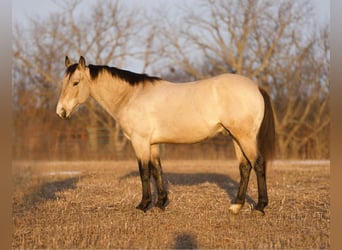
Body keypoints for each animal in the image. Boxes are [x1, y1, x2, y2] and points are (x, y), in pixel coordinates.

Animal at [56, 56, 276, 215]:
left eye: (75, 83)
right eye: (63, 83)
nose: (61, 112)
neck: (131, 96)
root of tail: (256, 87)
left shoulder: (140, 142)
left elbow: (144, 172)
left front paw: (143, 205)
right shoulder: (152, 144)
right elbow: (157, 171)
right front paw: (160, 203)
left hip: (245, 137)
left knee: (258, 164)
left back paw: (260, 207)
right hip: (236, 137)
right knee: (245, 167)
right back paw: (236, 206)